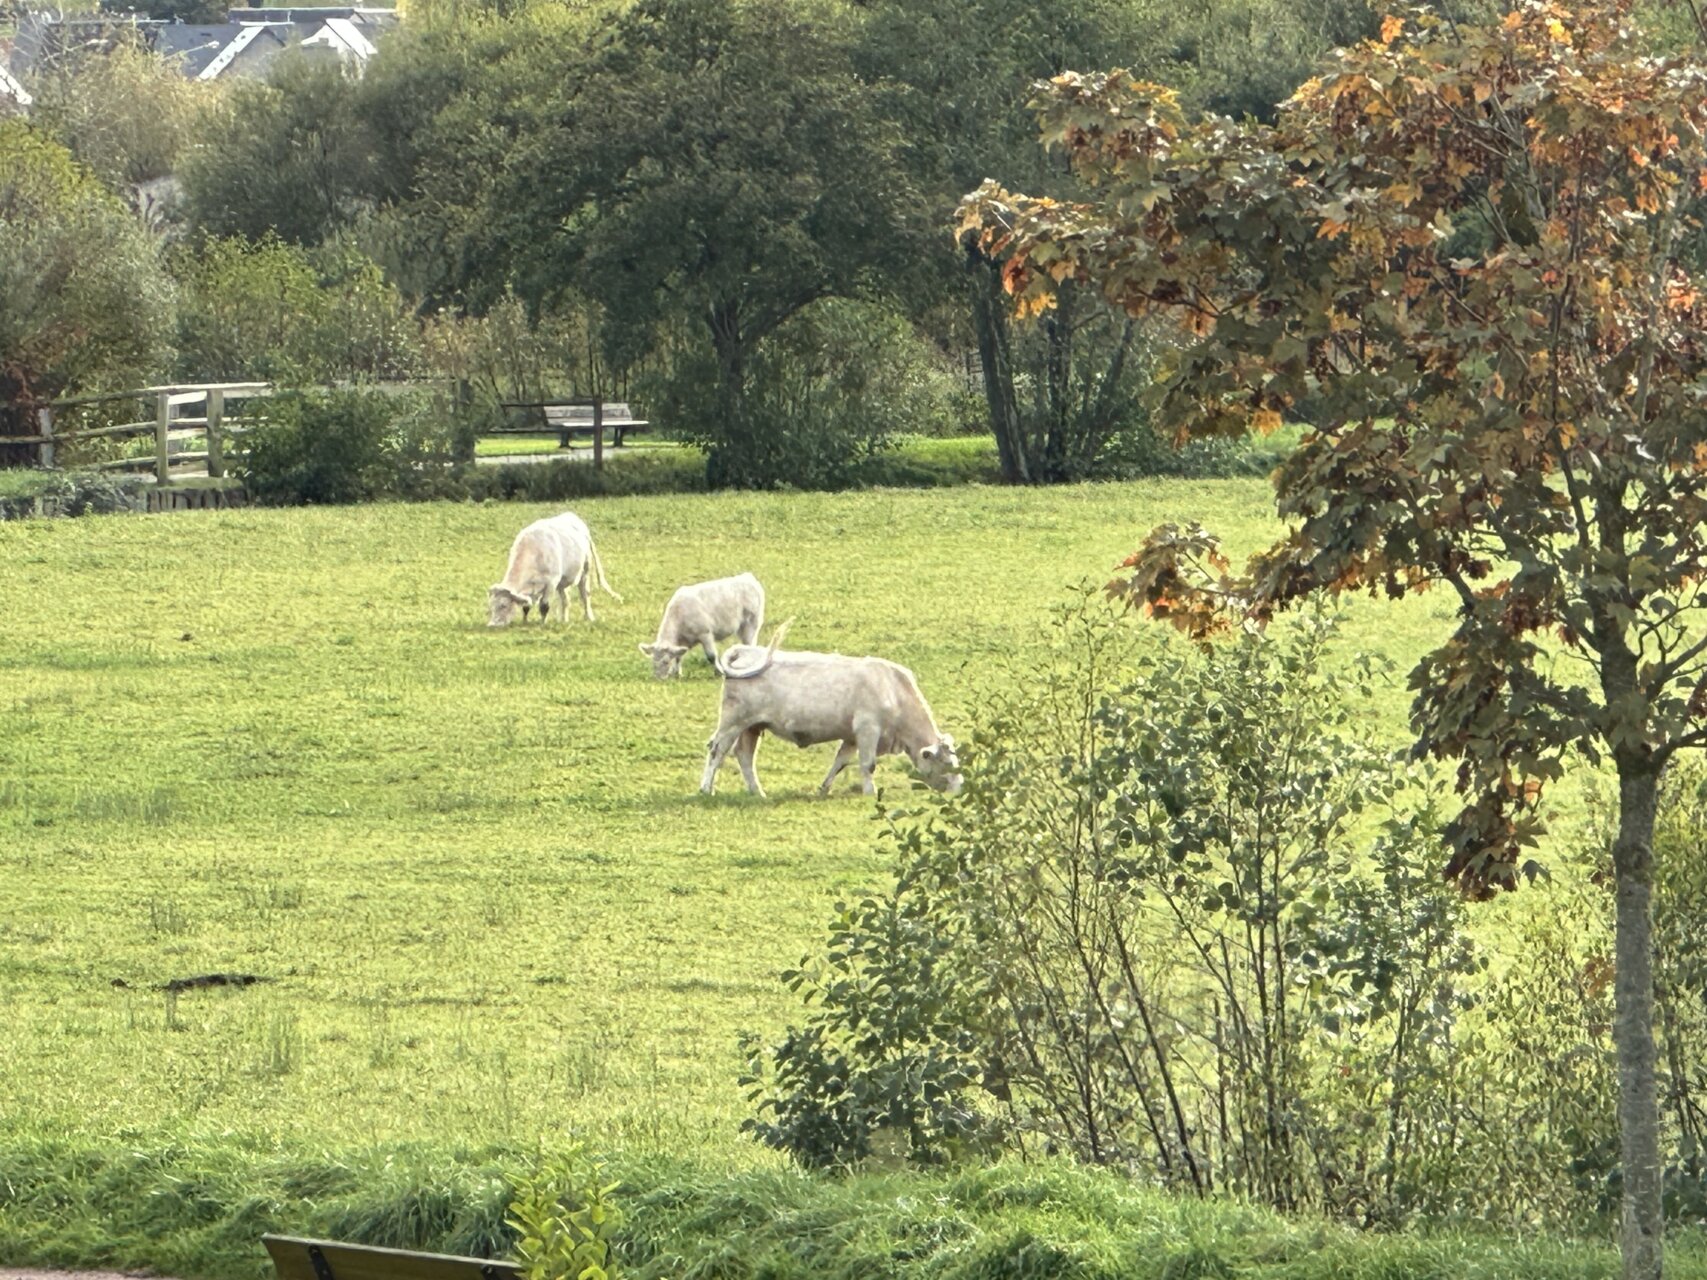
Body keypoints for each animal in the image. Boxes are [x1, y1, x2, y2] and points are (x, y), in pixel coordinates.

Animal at [488, 515, 621, 628]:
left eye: (503, 605)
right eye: (491, 606)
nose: (492, 625)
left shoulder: (551, 582)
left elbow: (544, 606)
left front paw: (542, 623)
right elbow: (526, 606)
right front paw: (525, 621)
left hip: (585, 571)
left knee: (585, 595)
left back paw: (588, 617)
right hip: (562, 582)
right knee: (566, 600)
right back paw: (563, 619)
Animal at [696, 624, 962, 798]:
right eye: (947, 763)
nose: (959, 788)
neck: (894, 690)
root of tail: (744, 651)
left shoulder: (852, 736)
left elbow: (840, 762)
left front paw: (824, 788)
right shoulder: (868, 729)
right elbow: (868, 764)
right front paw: (870, 791)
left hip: (752, 726)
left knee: (744, 756)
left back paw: (757, 791)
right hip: (732, 723)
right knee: (716, 750)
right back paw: (706, 789)